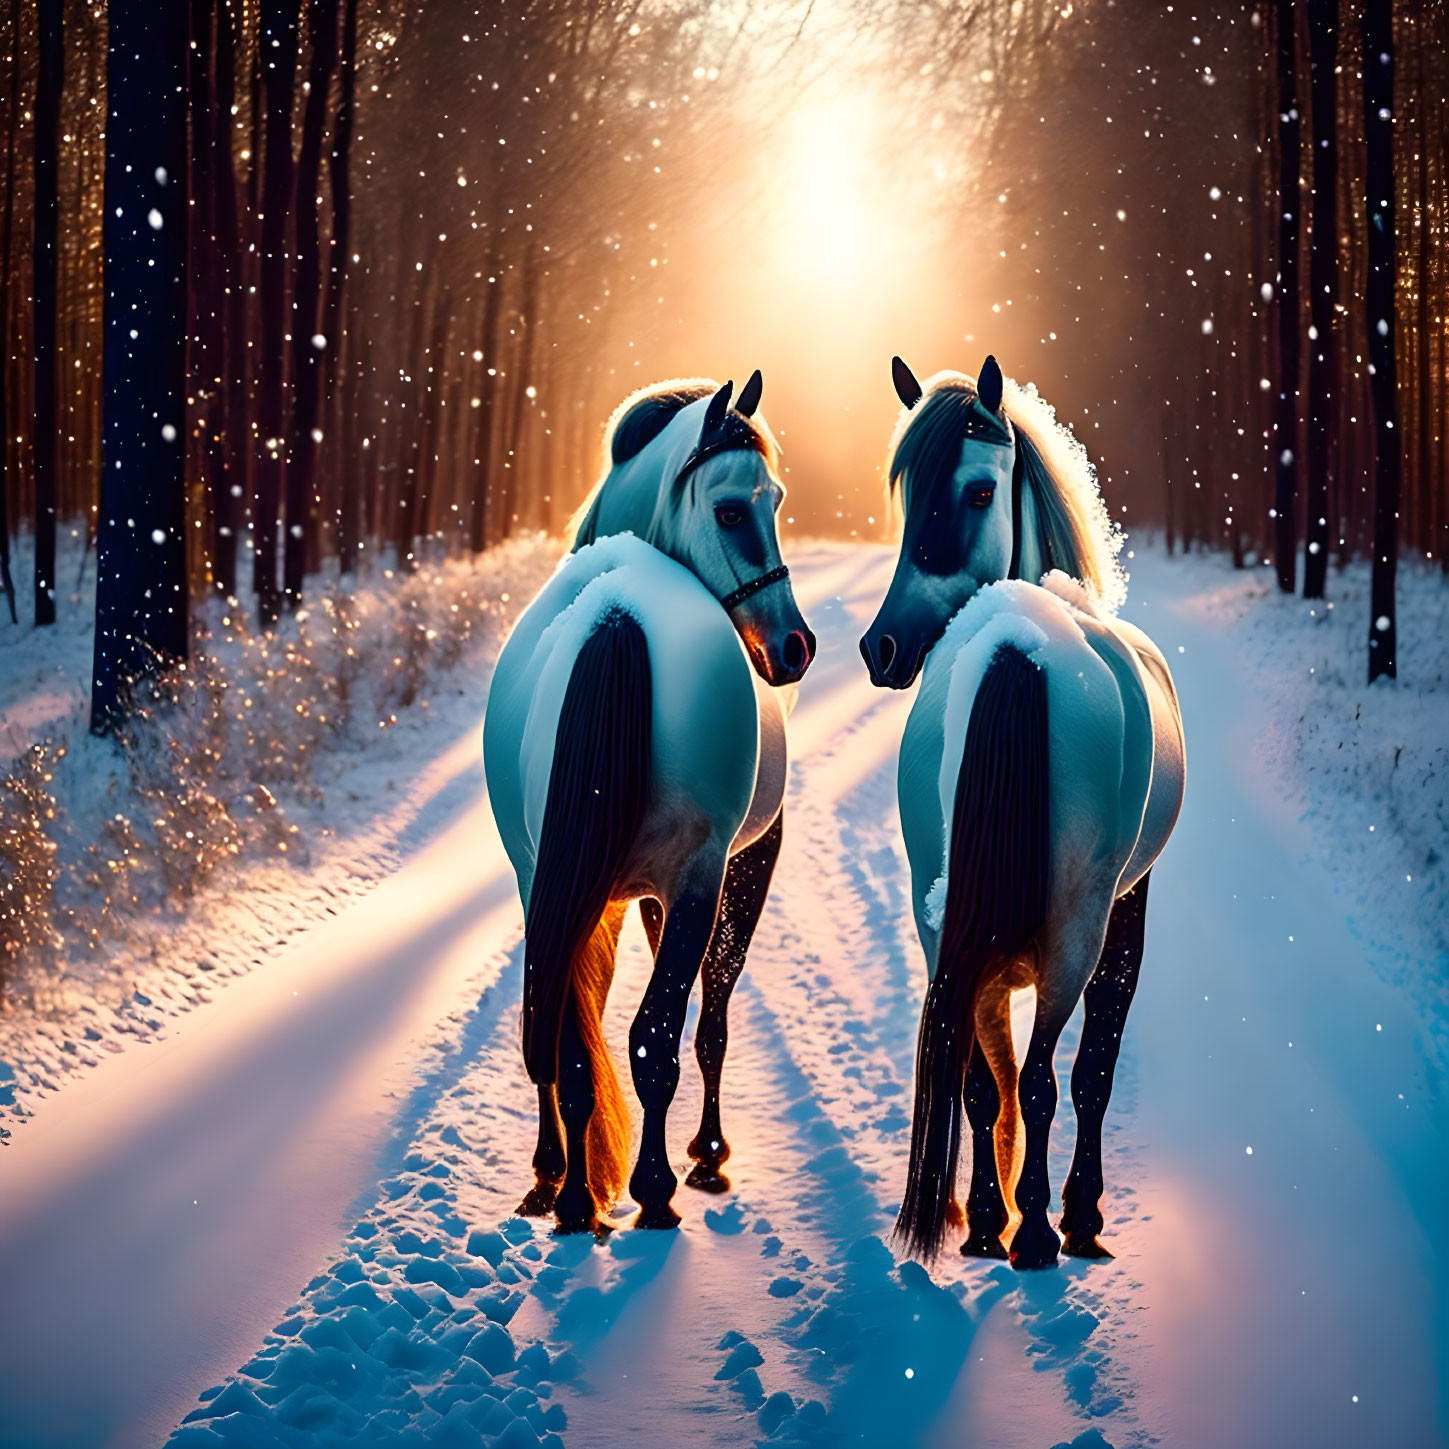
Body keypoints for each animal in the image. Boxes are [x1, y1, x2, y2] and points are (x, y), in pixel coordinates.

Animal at [857, 353, 1188, 1269]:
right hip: (1077, 928)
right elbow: (1086, 1069)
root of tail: (1019, 641)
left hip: (939, 917)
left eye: (976, 491)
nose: (881, 647)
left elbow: (989, 1077)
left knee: (980, 1076)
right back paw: (1040, 1229)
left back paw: (982, 1225)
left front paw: (987, 1211)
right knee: (1046, 1076)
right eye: (907, 492)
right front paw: (1074, 1212)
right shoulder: (1126, 908)